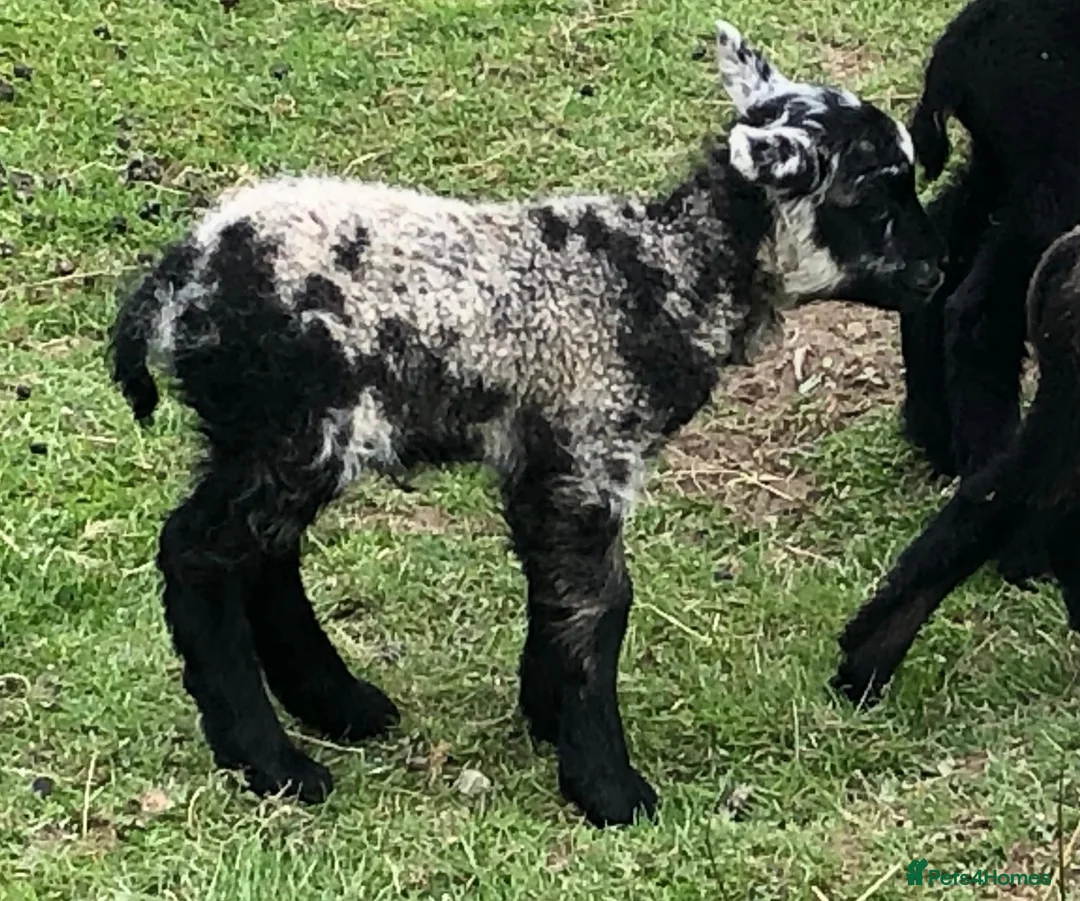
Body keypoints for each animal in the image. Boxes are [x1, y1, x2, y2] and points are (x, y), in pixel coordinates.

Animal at [108, 18, 944, 828]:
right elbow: (600, 609)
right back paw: (272, 761)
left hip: (273, 435)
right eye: (875, 201)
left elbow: (555, 596)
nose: (937, 272)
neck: (665, 276)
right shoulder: (590, 451)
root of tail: (178, 278)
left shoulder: (544, 463)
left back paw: (341, 705)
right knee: (199, 554)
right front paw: (609, 788)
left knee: (266, 556)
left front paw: (546, 719)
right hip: (295, 423)